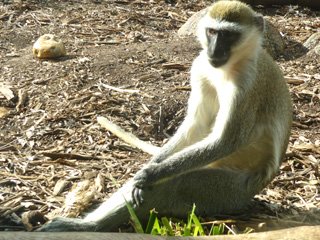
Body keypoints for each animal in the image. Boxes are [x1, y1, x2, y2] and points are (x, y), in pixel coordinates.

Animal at [38, 0, 292, 232]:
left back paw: (89, 225)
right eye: (212, 32)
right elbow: (196, 126)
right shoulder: (200, 66)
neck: (231, 66)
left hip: (230, 191)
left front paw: (153, 173)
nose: (214, 50)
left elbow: (225, 141)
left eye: (229, 35)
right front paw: (152, 166)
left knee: (175, 184)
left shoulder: (247, 87)